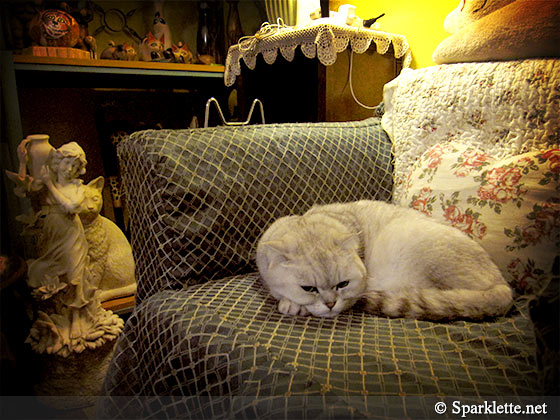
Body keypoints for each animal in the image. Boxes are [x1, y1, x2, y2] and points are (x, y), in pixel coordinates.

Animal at [258, 201, 512, 322]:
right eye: (309, 288)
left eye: (343, 284)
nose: (330, 304)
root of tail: (504, 287)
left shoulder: (357, 292)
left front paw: (292, 305)